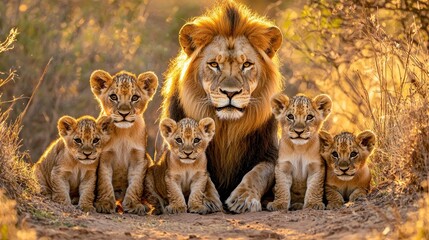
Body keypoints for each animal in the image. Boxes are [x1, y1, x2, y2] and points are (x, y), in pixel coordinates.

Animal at [160, 1, 280, 212]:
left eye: (247, 64)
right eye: (214, 64)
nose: (230, 93)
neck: (227, 127)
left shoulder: (270, 154)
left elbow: (258, 173)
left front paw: (244, 198)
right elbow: (202, 173)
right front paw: (204, 199)